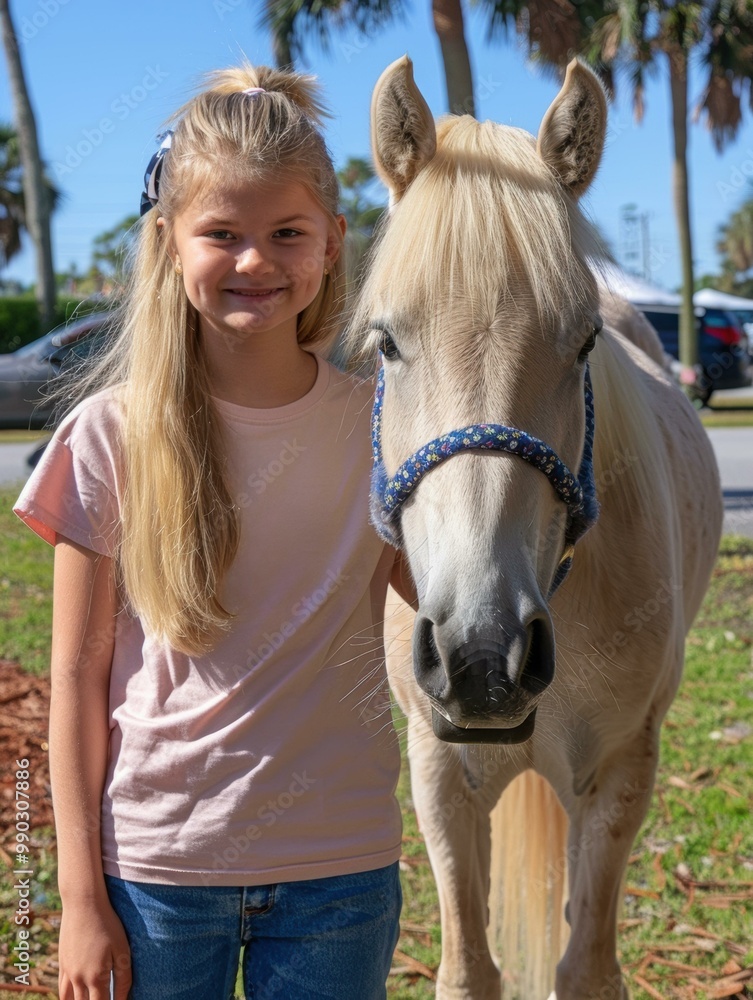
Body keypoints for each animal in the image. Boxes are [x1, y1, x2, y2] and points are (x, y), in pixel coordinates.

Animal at [351, 57, 724, 999]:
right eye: (386, 344)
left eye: (583, 341)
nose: (483, 657)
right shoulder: (439, 775)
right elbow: (468, 969)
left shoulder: (620, 772)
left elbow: (583, 968)